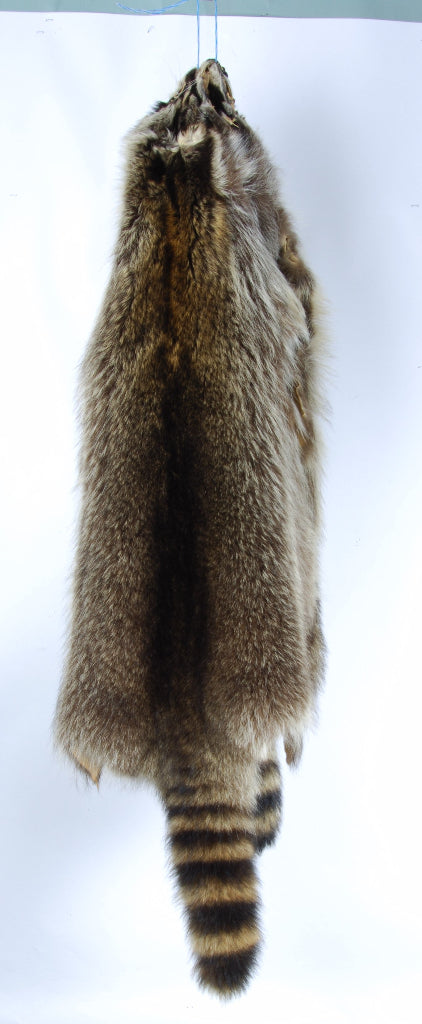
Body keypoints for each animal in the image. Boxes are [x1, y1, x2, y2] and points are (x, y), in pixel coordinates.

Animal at [53, 59, 327, 997]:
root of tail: (181, 710)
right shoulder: (266, 258)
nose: (207, 67)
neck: (177, 199)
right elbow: (299, 297)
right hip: (270, 627)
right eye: (198, 97)